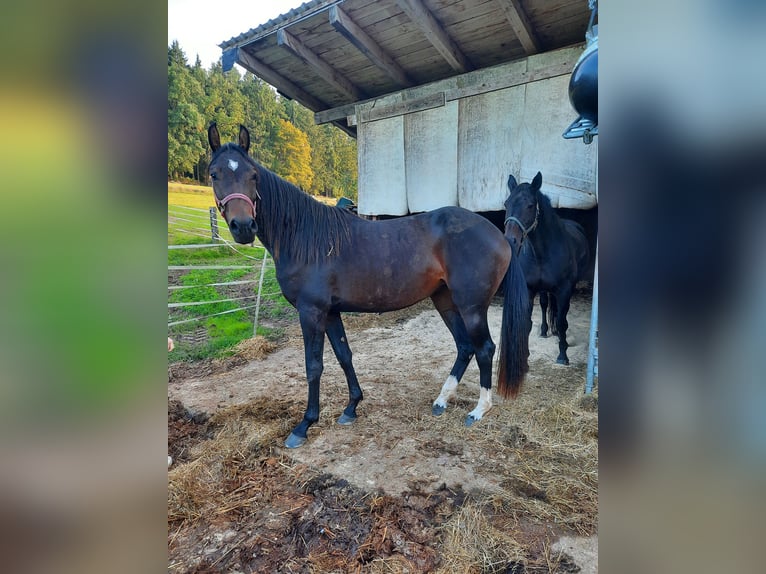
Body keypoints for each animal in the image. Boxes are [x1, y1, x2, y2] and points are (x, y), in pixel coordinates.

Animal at [207, 123, 530, 448]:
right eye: (214, 174)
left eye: (253, 175)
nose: (243, 226)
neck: (305, 238)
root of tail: (500, 236)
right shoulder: (330, 312)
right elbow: (344, 356)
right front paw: (351, 407)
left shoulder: (311, 312)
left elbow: (313, 366)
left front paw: (304, 425)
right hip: (445, 301)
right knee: (464, 347)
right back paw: (441, 400)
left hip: (471, 306)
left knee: (484, 348)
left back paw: (479, 410)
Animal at [504, 172, 590, 365]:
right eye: (506, 204)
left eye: (530, 205)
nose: (510, 240)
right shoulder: (529, 290)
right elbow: (527, 322)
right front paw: (525, 355)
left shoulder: (565, 290)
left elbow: (562, 322)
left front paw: (563, 355)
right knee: (545, 305)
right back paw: (544, 331)